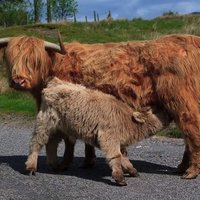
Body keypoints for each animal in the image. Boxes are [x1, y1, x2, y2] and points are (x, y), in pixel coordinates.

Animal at [24, 77, 169, 186]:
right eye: (155, 110)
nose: (168, 109)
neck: (127, 121)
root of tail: (55, 82)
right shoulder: (109, 138)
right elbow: (116, 157)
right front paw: (120, 178)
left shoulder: (119, 142)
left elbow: (124, 157)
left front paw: (132, 170)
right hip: (45, 123)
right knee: (36, 143)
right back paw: (31, 167)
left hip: (60, 128)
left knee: (51, 144)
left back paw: (55, 165)